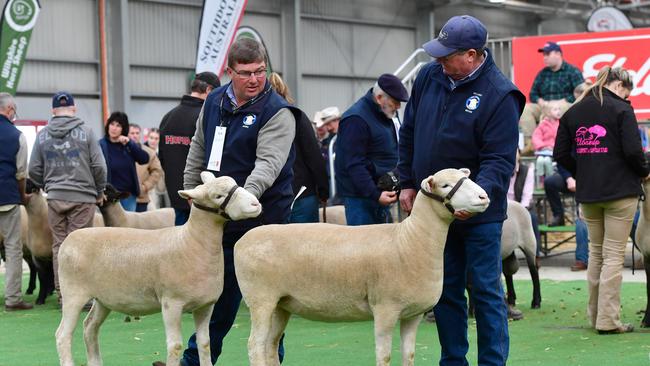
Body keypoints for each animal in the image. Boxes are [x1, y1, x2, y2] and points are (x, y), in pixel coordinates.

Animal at [53, 174, 260, 366]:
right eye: (218, 196)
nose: (256, 203)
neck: (190, 242)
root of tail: (70, 239)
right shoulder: (171, 303)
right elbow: (175, 346)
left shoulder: (206, 305)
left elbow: (205, 344)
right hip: (73, 294)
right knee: (63, 334)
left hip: (103, 299)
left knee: (90, 327)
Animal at [233, 169, 486, 366]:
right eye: (445, 185)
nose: (484, 196)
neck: (409, 240)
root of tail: (242, 240)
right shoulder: (385, 309)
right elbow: (384, 357)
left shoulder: (413, 314)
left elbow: (409, 355)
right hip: (261, 300)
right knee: (255, 346)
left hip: (281, 304)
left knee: (270, 345)